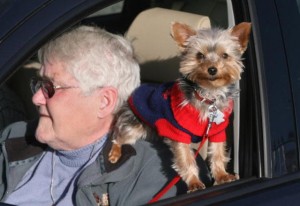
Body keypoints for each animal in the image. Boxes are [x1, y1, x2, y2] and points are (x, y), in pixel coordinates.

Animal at [108, 21, 251, 192]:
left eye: (225, 56)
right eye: (199, 55)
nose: (212, 69)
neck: (208, 96)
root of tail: (134, 89)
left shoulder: (217, 131)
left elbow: (217, 153)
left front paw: (222, 175)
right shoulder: (178, 133)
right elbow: (186, 159)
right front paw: (194, 183)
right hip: (133, 124)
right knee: (119, 136)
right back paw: (115, 153)